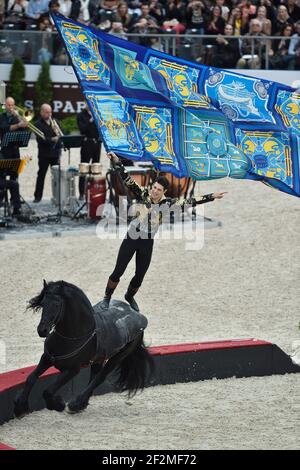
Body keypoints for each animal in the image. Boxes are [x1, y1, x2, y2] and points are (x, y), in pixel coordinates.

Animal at [14, 280, 154, 416]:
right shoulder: (47, 358)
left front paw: (58, 405)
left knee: (99, 378)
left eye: (57, 304)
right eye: (43, 303)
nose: (42, 330)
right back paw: (81, 404)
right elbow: (31, 378)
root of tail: (137, 313)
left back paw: (76, 404)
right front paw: (20, 407)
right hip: (98, 359)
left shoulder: (72, 370)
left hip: (118, 357)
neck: (72, 337)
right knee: (94, 376)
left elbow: (47, 391)